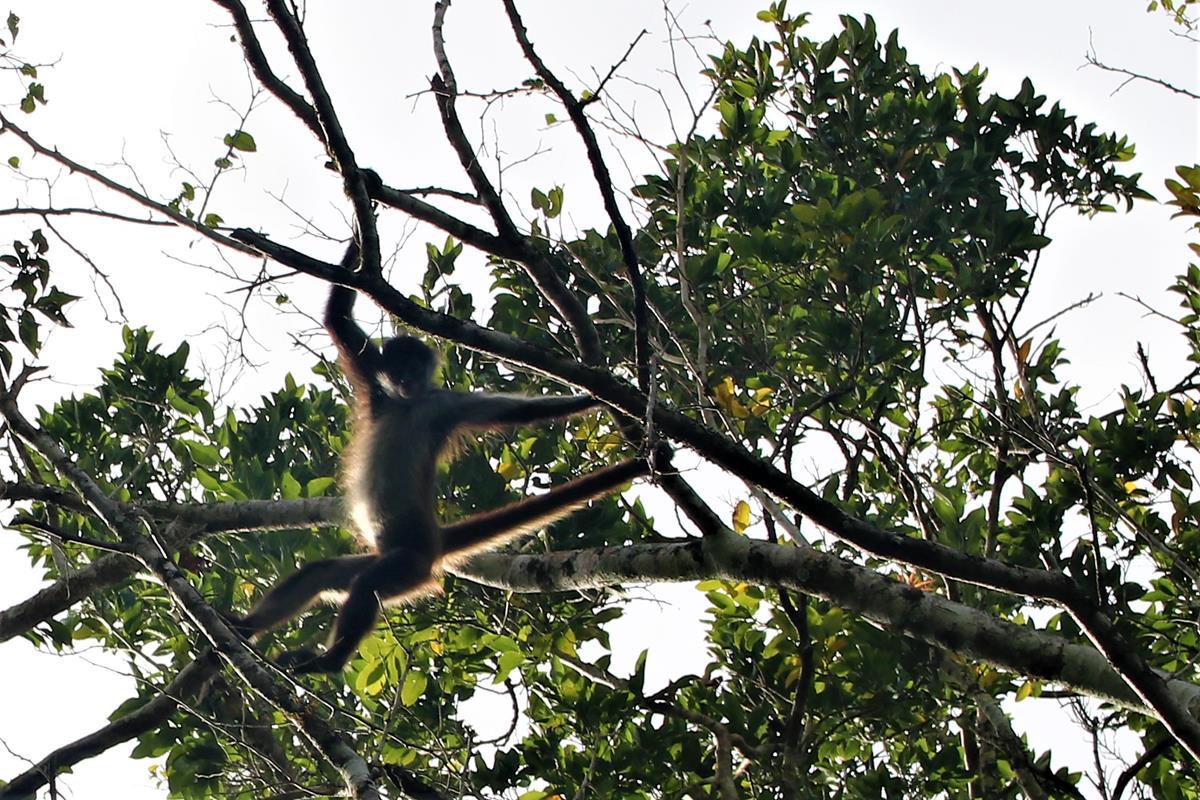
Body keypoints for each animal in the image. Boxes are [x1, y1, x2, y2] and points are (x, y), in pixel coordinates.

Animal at [226, 268, 665, 674]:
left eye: (415, 368)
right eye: (398, 368)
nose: (406, 379)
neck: (407, 405)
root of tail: (431, 542)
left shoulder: (445, 405)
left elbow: (520, 412)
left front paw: (595, 398)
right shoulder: (377, 384)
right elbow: (338, 318)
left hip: (407, 565)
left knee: (367, 585)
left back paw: (329, 663)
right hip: (391, 562)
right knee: (320, 575)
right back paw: (244, 629)